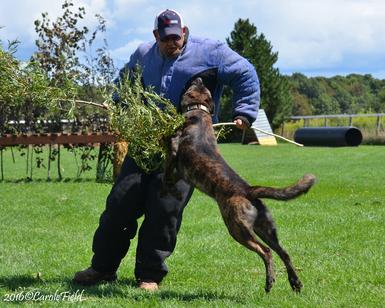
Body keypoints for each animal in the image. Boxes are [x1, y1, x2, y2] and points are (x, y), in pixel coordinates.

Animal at [162, 77, 316, 294]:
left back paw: (269, 281)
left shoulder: (173, 150)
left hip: (238, 228)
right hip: (266, 229)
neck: (199, 112)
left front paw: (164, 182)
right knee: (284, 252)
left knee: (266, 252)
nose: (199, 78)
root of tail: (248, 190)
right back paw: (295, 282)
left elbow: (168, 169)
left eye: (195, 86)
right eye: (202, 87)